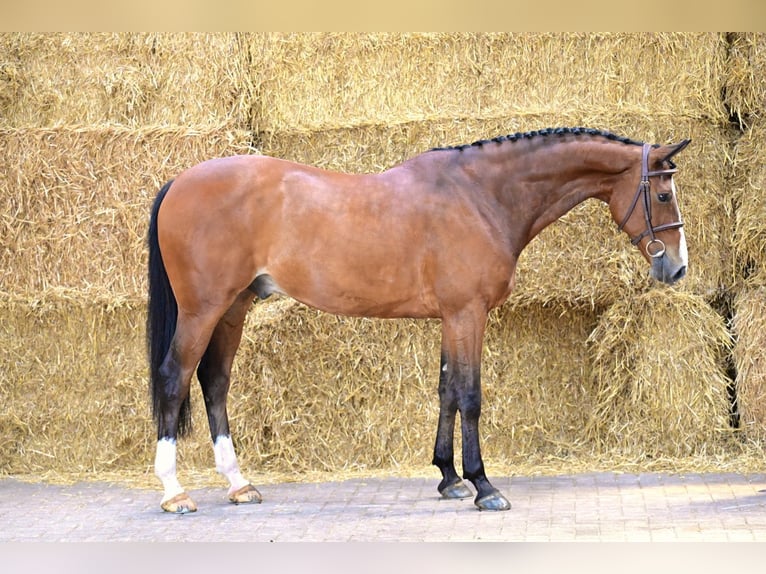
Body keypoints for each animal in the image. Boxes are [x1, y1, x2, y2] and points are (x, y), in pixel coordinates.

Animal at [147, 127, 690, 513]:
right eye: (663, 196)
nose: (676, 267)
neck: (480, 196)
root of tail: (178, 183)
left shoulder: (452, 317)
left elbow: (446, 390)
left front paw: (449, 478)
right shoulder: (468, 314)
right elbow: (470, 396)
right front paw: (483, 485)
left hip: (233, 308)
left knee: (215, 382)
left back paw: (239, 484)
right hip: (203, 309)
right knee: (175, 378)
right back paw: (175, 492)